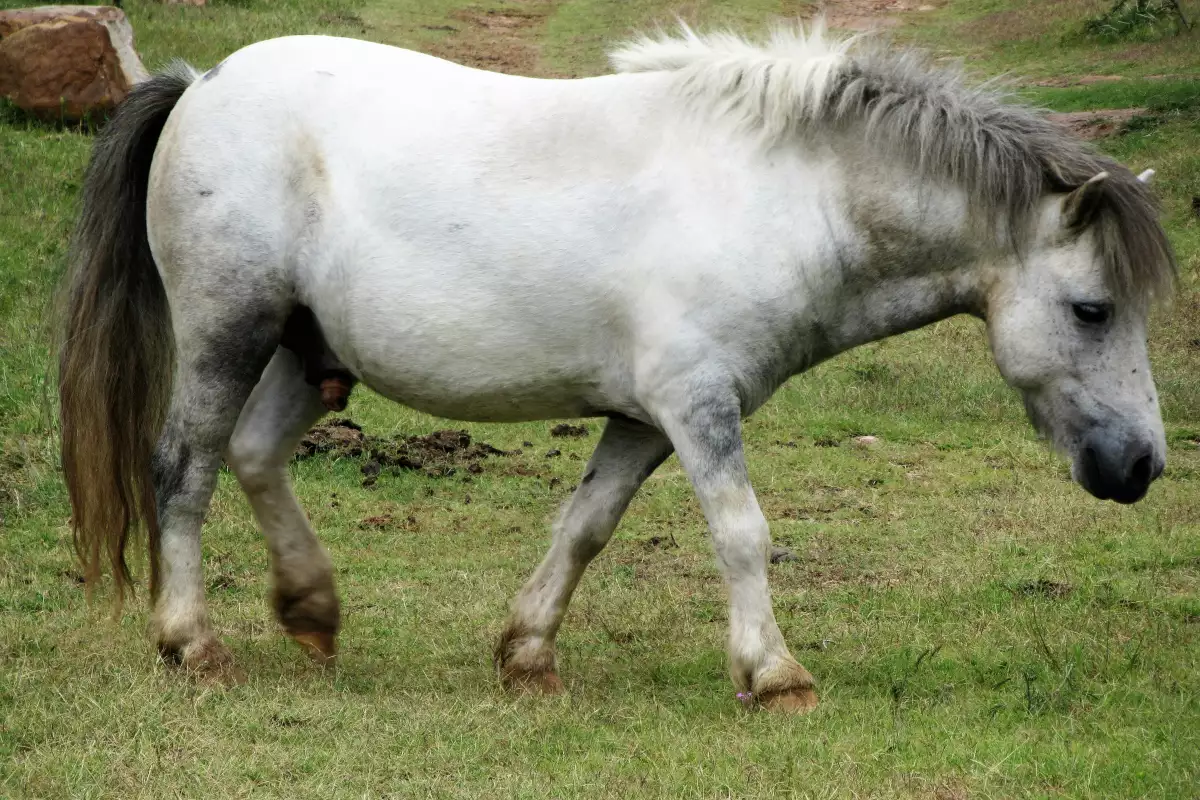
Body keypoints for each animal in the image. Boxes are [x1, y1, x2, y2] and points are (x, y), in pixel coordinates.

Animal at [58, 25, 1171, 714]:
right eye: (1093, 309)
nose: (1143, 466)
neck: (781, 195)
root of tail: (201, 85)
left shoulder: (645, 417)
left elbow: (585, 526)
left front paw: (527, 655)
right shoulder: (697, 404)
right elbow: (742, 531)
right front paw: (774, 675)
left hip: (306, 349)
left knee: (251, 457)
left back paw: (312, 609)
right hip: (228, 333)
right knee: (184, 470)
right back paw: (193, 642)